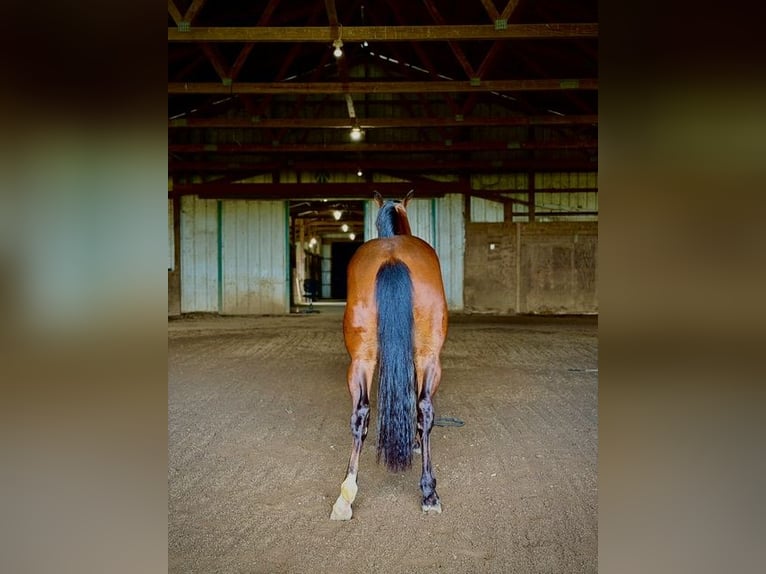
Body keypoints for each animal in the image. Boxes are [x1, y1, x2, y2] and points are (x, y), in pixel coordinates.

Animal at [330, 190, 449, 521]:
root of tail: (392, 256)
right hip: (429, 357)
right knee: (425, 409)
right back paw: (429, 492)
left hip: (361, 358)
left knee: (360, 413)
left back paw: (346, 494)